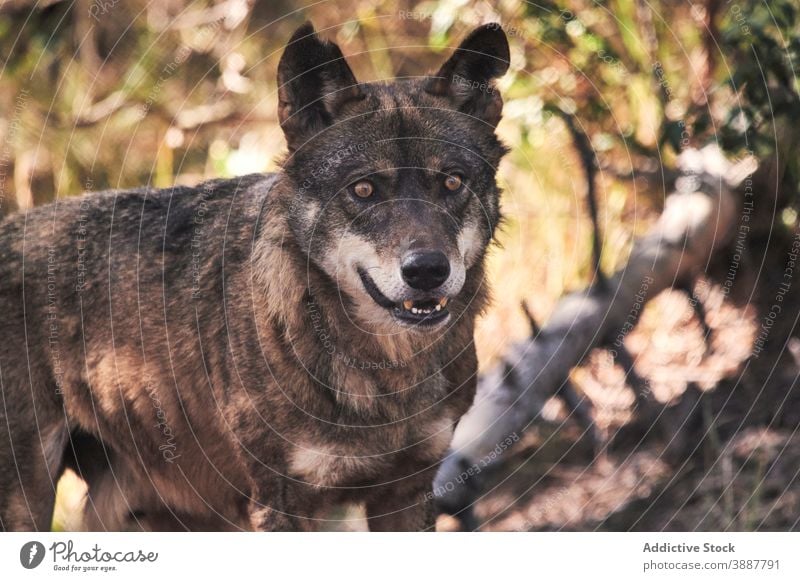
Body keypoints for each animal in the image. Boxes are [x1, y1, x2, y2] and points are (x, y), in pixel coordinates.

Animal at [0, 21, 510, 532]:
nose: (427, 270)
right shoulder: (279, 503)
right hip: (29, 500)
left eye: (452, 182)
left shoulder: (407, 491)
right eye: (364, 189)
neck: (385, 370)